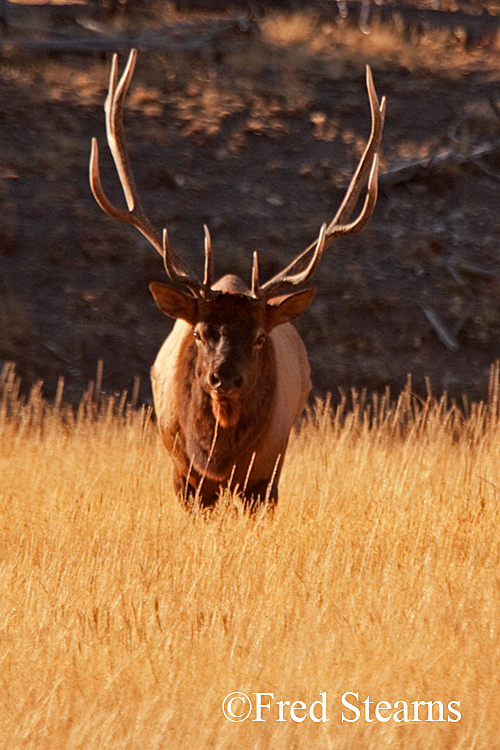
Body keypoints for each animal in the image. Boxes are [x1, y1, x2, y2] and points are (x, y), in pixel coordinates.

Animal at [90, 50, 386, 516]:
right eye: (199, 332)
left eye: (261, 337)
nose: (224, 378)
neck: (219, 458)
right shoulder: (184, 477)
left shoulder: (265, 478)